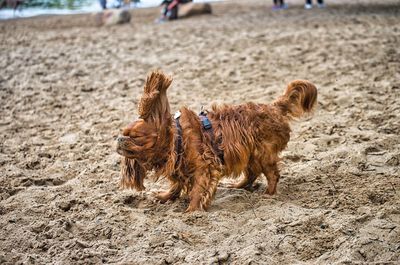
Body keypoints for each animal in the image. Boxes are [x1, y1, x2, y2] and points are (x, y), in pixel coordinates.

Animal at [117, 69, 318, 210]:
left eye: (134, 137)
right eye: (123, 132)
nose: (119, 139)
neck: (178, 138)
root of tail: (274, 107)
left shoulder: (205, 167)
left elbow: (198, 191)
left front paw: (191, 212)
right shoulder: (180, 168)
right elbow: (176, 184)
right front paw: (165, 197)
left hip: (263, 154)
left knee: (272, 175)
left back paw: (268, 195)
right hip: (251, 154)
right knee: (251, 173)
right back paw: (238, 186)